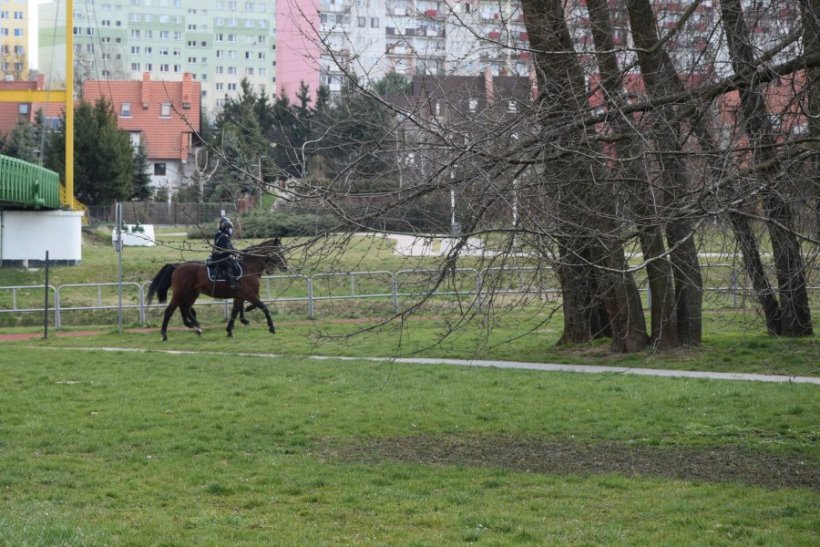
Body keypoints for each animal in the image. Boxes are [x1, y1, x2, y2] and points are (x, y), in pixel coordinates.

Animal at [147, 238, 288, 341]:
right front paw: (271, 328)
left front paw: (230, 330)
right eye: (279, 251)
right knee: (170, 311)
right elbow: (264, 307)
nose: (285, 267)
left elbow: (235, 311)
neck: (249, 267)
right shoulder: (249, 294)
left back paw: (196, 327)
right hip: (179, 293)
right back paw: (165, 334)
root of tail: (177, 266)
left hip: (192, 294)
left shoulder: (241, 296)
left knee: (185, 308)